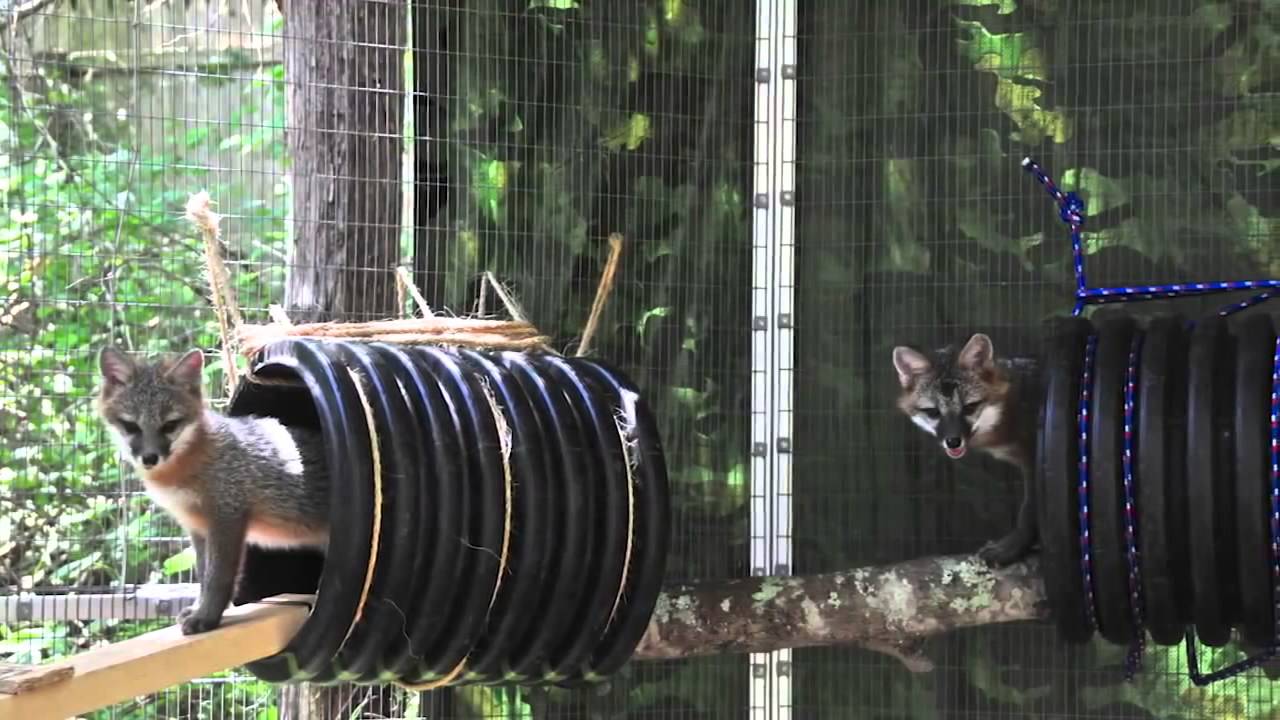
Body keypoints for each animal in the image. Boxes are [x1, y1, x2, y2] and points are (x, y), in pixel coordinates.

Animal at [95, 345, 331, 635]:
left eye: (170, 425)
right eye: (131, 426)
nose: (150, 458)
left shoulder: (226, 518)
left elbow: (218, 577)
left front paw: (207, 617)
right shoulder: (197, 526)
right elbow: (203, 574)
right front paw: (199, 608)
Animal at [891, 333, 1038, 567]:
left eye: (969, 407)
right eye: (933, 412)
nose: (953, 442)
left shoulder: (1036, 460)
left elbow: (1029, 511)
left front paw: (1012, 548)